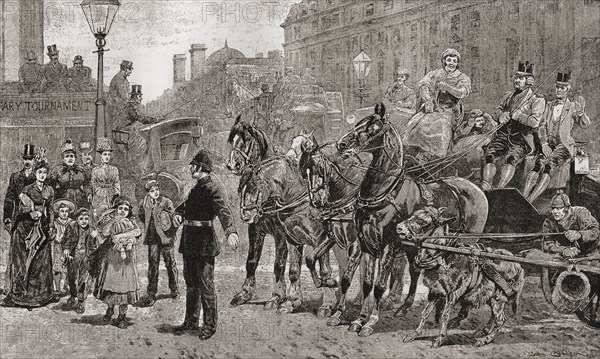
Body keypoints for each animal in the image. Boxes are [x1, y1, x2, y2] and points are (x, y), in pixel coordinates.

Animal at [239, 156, 340, 316]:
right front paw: (290, 301)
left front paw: (326, 306)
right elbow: (288, 269)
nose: (245, 216)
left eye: (253, 187)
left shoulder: (317, 239)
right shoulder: (285, 236)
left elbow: (323, 270)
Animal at [290, 131, 418, 326]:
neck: (348, 197)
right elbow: (311, 259)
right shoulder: (333, 238)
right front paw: (328, 283)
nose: (317, 202)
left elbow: (348, 278)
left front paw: (341, 312)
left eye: (318, 168)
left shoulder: (356, 245)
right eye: (305, 172)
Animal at [336, 103, 490, 338]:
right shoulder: (365, 243)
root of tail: (476, 189)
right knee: (416, 272)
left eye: (373, 129)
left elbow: (379, 286)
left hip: (466, 244)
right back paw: (414, 308)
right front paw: (357, 320)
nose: (342, 144)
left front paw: (370, 323)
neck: (385, 191)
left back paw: (452, 315)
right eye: (358, 124)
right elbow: (365, 283)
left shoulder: (388, 245)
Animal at [398, 208, 524, 348]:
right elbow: (425, 313)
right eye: (413, 215)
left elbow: (445, 316)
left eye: (424, 221)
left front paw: (440, 339)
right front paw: (414, 335)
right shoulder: (434, 292)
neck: (445, 255)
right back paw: (483, 331)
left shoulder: (452, 295)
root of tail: (518, 266)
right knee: (494, 316)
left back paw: (484, 339)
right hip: (490, 297)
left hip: (499, 298)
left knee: (500, 320)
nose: (399, 227)